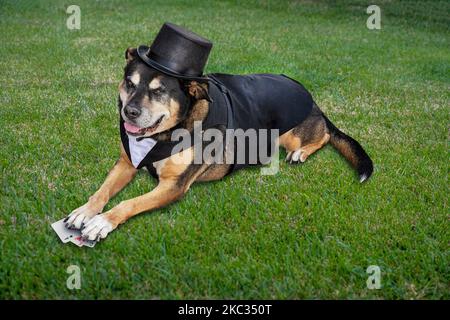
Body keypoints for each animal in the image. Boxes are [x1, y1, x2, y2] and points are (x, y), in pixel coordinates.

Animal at [63, 26, 372, 241]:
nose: (130, 112)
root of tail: (314, 100)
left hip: (293, 134)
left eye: (159, 91)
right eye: (129, 83)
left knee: (324, 136)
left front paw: (103, 222)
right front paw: (84, 211)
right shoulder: (126, 162)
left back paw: (301, 152)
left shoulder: (173, 187)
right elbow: (101, 191)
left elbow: (129, 202)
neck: (163, 135)